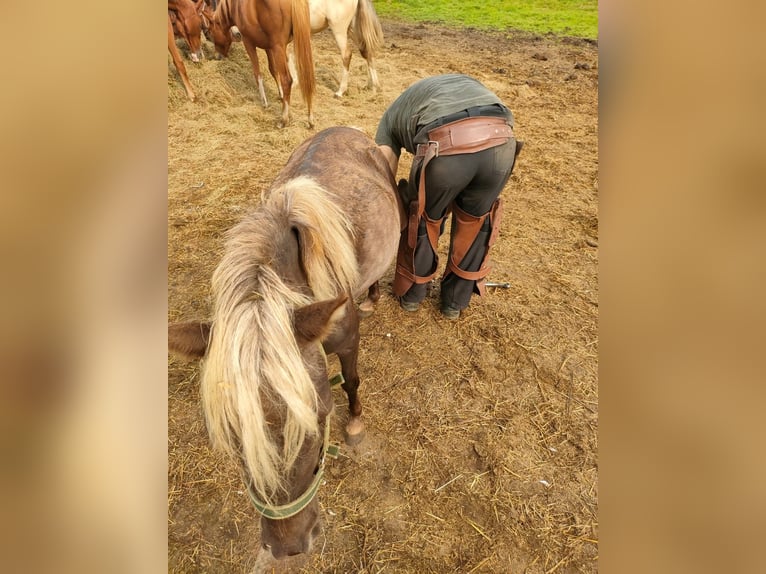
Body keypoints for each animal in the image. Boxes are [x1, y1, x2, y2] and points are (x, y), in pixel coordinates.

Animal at [170, 127, 402, 564]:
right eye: (233, 435)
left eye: (321, 418)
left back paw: (373, 296)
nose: (288, 546)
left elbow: (351, 381)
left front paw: (356, 423)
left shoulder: (348, 342)